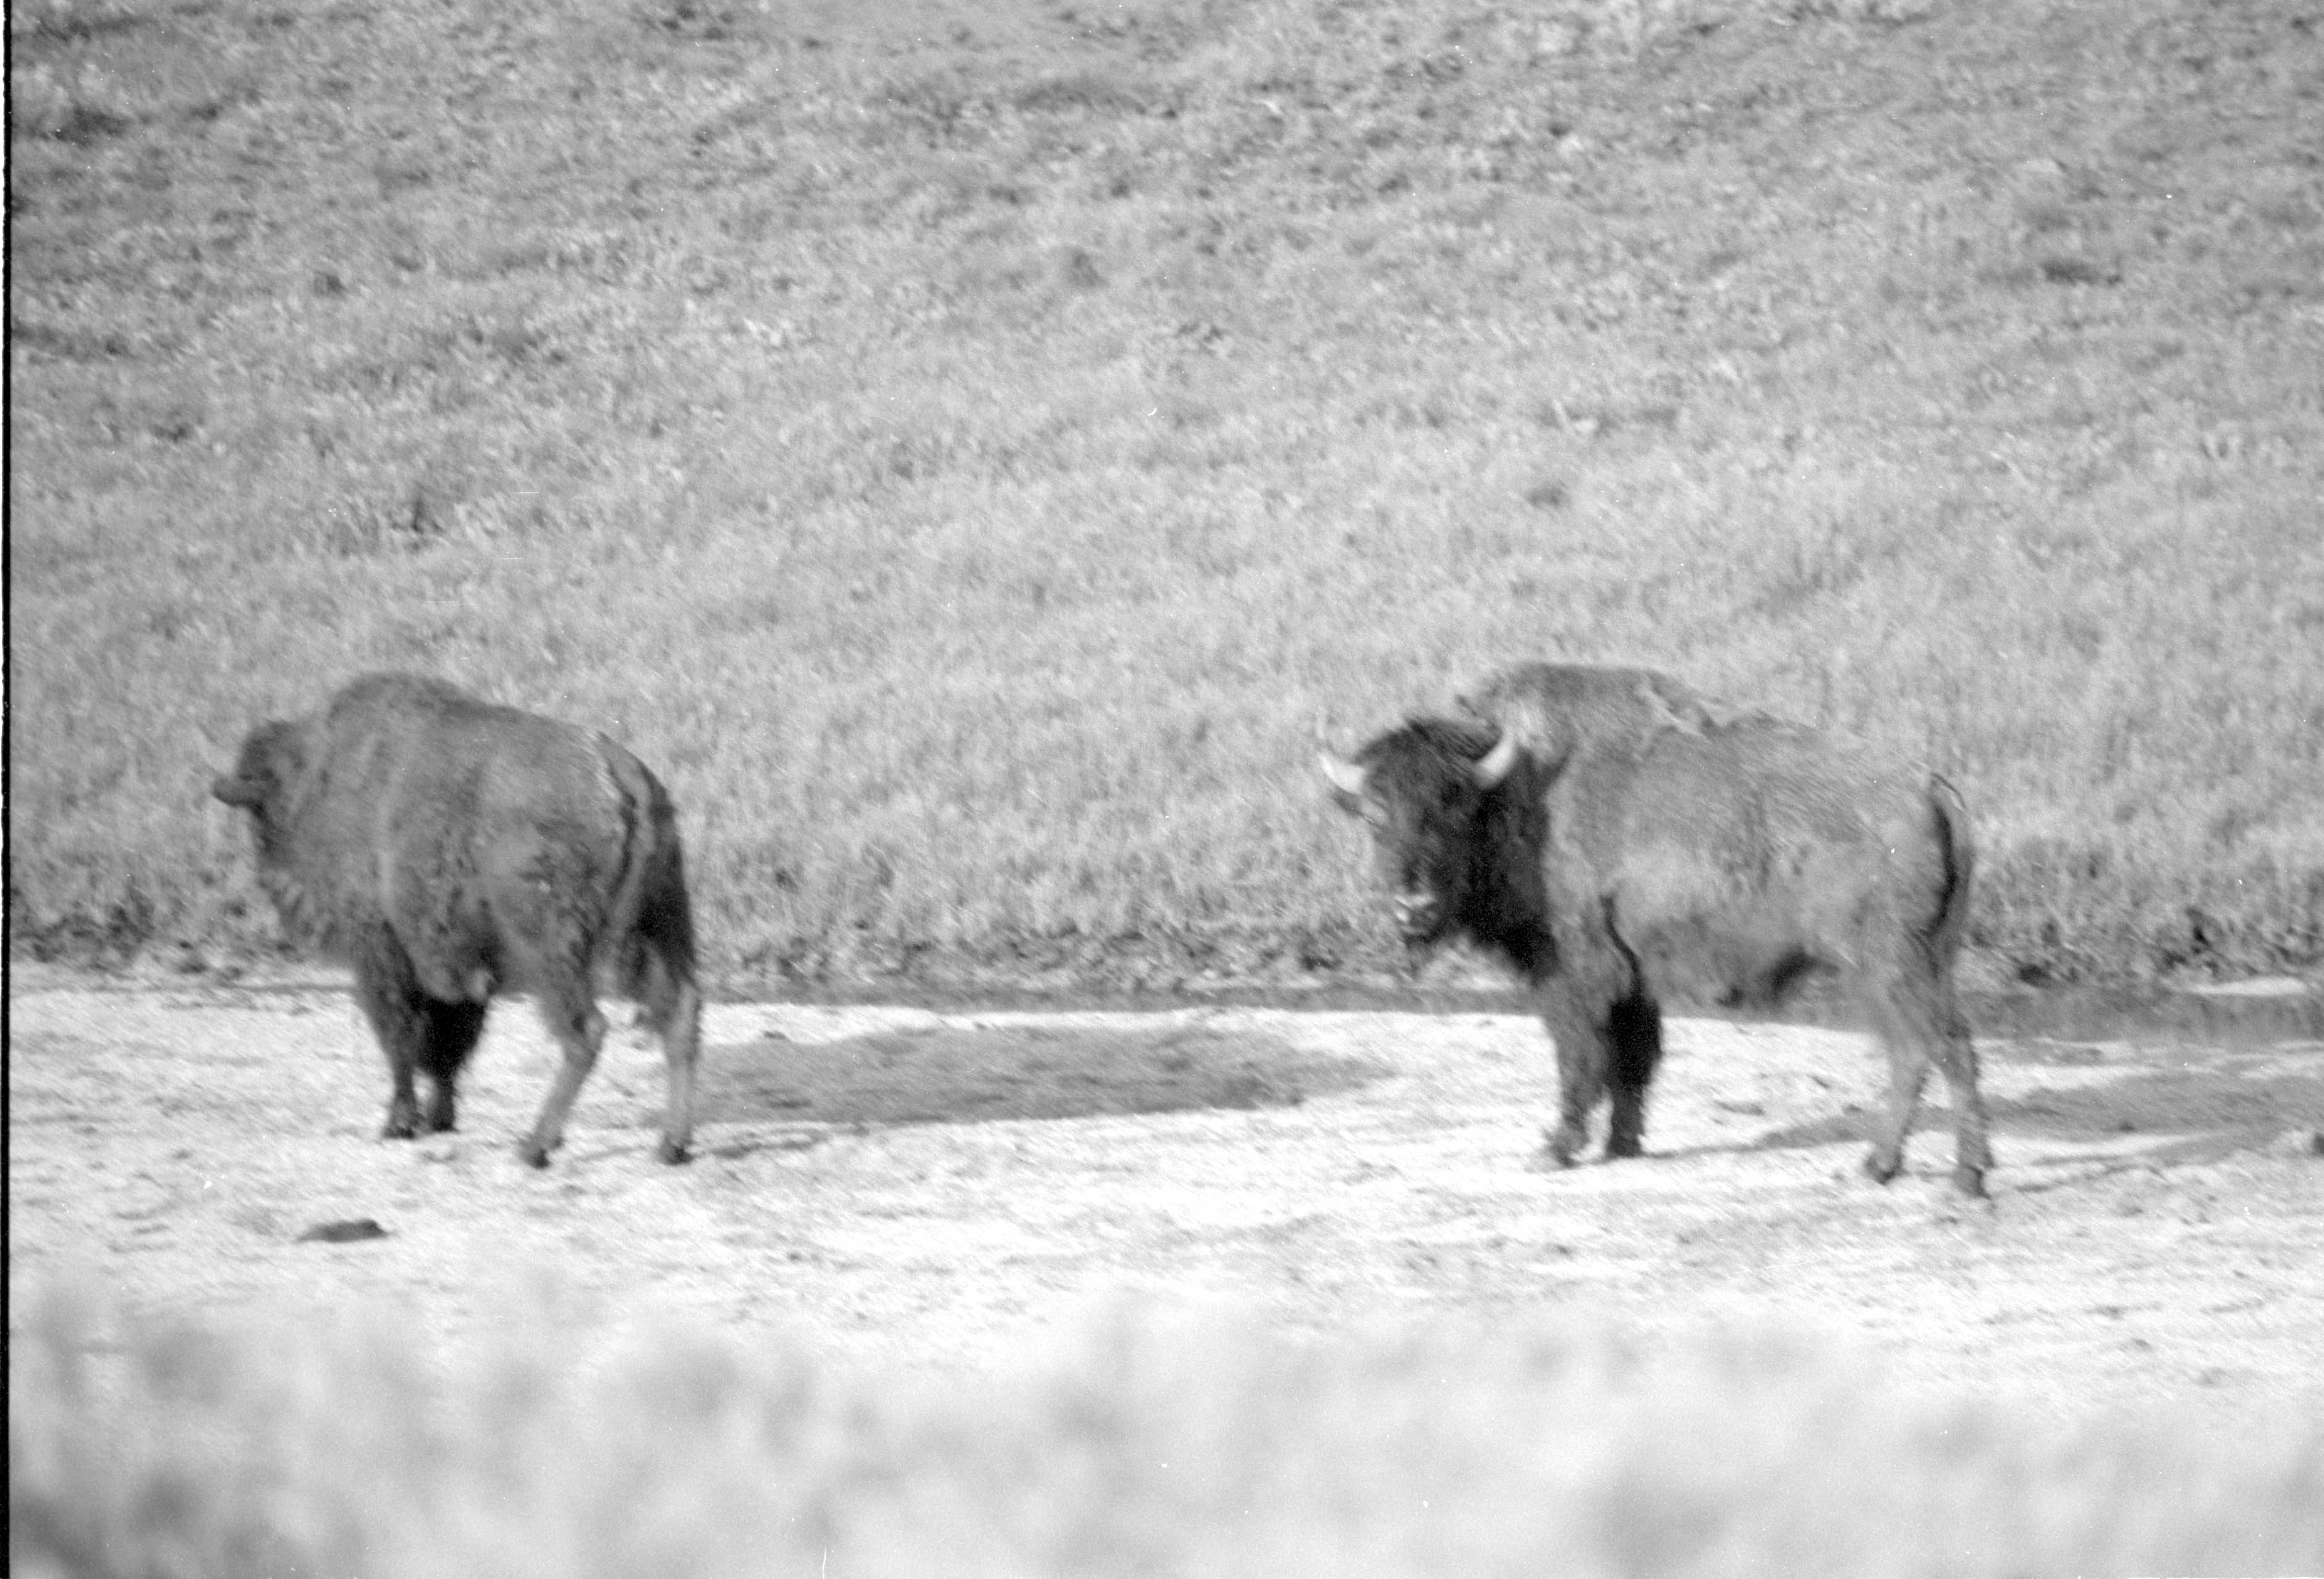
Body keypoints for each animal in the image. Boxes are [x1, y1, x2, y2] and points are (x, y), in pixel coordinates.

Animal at [212, 672, 703, 1167]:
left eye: (262, 813)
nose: (270, 879)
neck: (316, 775)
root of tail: (619, 774)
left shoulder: (381, 951)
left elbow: (402, 1038)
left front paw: (400, 1123)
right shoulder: (454, 965)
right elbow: (445, 1046)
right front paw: (439, 1118)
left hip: (553, 953)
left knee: (586, 1032)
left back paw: (535, 1146)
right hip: (655, 932)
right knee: (679, 1012)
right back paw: (672, 1145)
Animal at [1320, 662, 1990, 1196]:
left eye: (1454, 810)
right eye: (1374, 817)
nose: (1412, 906)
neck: (1519, 788)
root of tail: (1929, 786)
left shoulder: (1575, 972)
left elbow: (1581, 1054)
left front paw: (1554, 1148)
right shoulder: (1633, 975)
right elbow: (1632, 1060)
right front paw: (1622, 1144)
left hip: (1889, 968)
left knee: (1935, 1049)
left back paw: (1955, 1175)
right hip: (1921, 964)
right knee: (1926, 1051)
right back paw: (1894, 1167)